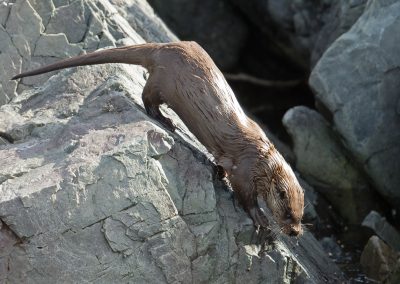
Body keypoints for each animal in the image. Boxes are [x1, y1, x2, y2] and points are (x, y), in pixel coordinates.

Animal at [13, 41, 306, 236]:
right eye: (287, 213)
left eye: (301, 216)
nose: (295, 232)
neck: (264, 160)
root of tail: (166, 46)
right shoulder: (245, 169)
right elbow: (244, 194)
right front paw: (260, 218)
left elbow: (221, 166)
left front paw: (217, 173)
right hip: (164, 81)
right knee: (147, 96)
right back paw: (164, 119)